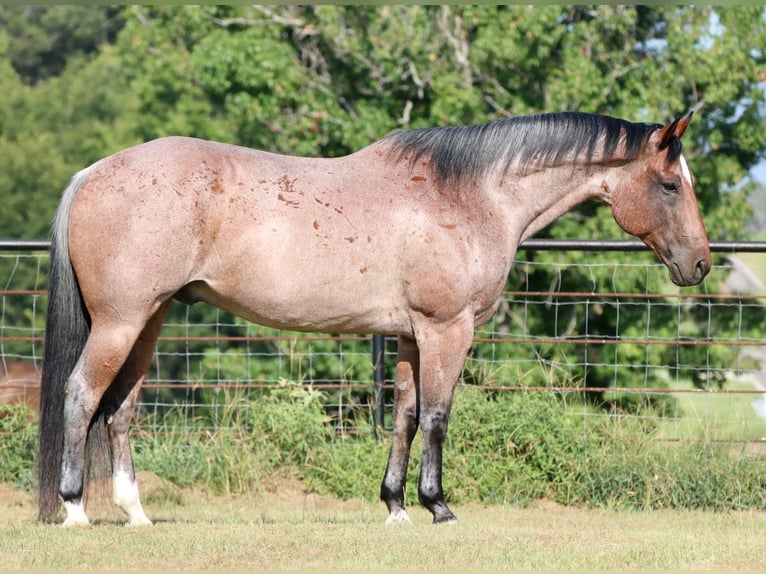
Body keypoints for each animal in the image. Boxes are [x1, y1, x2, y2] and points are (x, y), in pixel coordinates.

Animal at [34, 110, 708, 528]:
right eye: (671, 185)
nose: (699, 264)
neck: (471, 195)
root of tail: (92, 172)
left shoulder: (410, 337)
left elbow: (405, 418)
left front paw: (397, 506)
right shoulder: (447, 330)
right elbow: (437, 418)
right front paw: (439, 507)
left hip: (148, 322)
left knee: (120, 411)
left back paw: (135, 512)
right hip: (120, 323)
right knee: (81, 394)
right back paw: (74, 508)